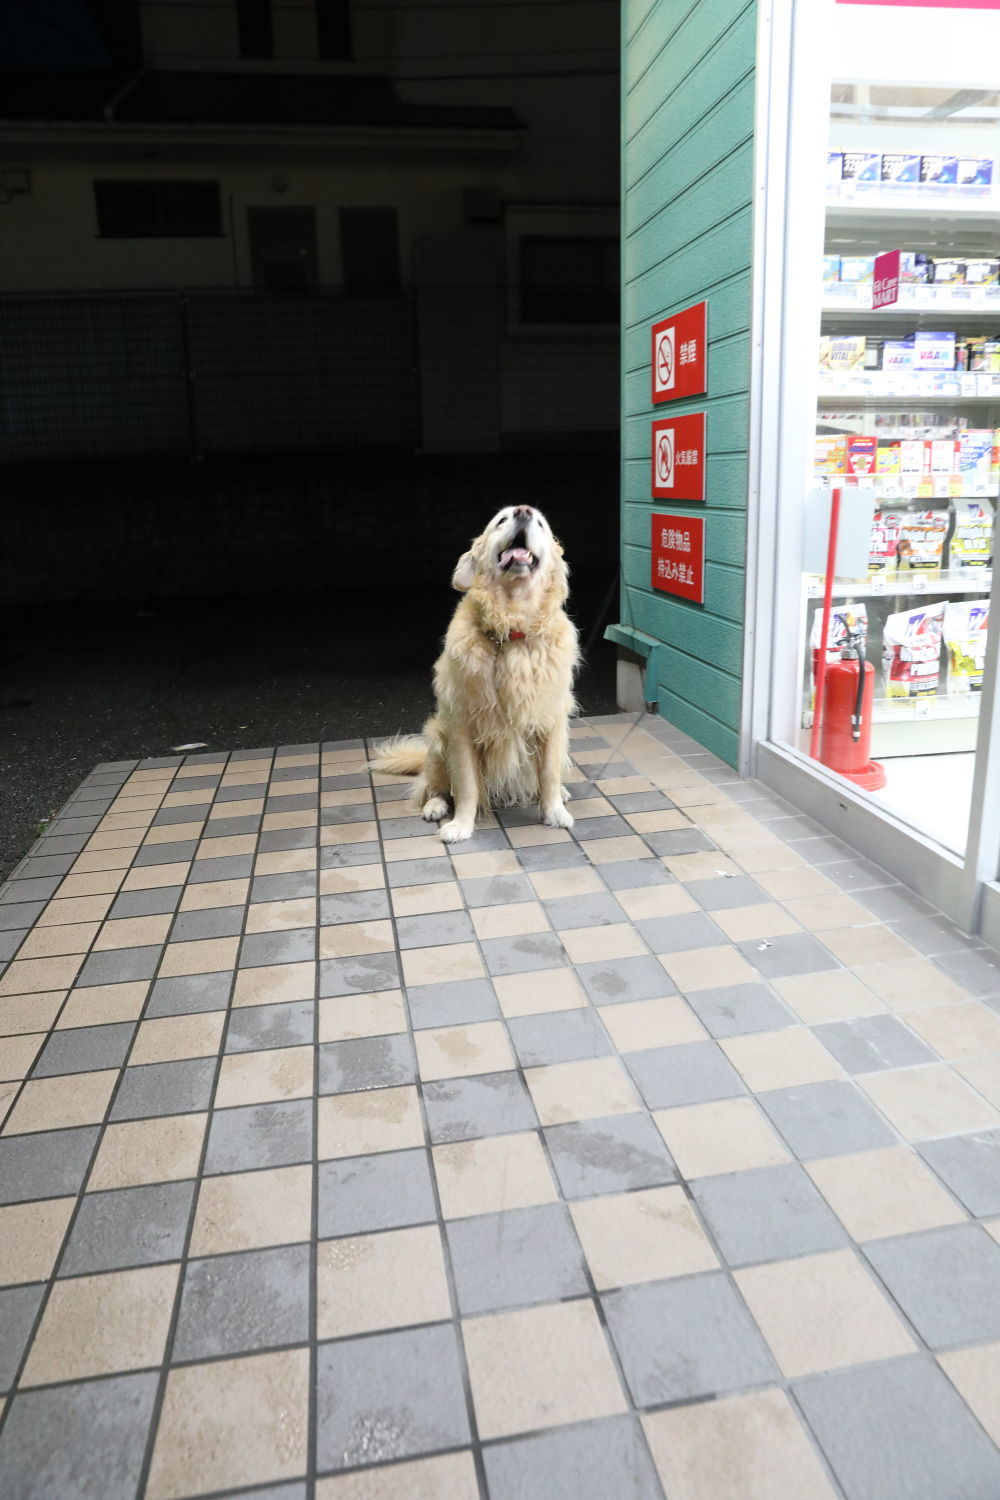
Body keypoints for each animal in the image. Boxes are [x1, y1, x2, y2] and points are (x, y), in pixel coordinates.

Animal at [370, 507, 581, 846]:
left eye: (539, 523)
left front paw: (554, 812)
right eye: (501, 520)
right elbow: (467, 785)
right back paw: (435, 805)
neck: (512, 630)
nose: (523, 511)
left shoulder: (550, 720)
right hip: (437, 740)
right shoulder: (461, 727)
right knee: (433, 784)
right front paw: (461, 824)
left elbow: (548, 773)